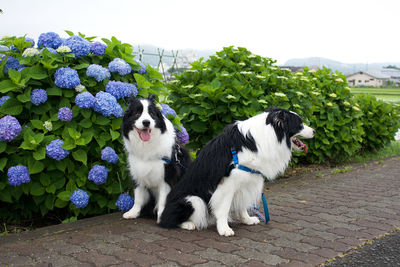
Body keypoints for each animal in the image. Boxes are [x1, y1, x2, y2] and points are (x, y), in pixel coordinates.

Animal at [122, 95, 191, 223]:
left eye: (151, 113)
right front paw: (133, 212)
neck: (147, 146)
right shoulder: (137, 172)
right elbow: (138, 197)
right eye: (137, 113)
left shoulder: (167, 176)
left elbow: (163, 199)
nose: (146, 122)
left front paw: (161, 217)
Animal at [160, 108, 316, 238]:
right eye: (300, 124)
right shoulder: (227, 183)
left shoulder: (247, 181)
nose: (314, 131)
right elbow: (223, 208)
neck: (266, 135)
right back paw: (188, 224)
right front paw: (224, 229)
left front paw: (247, 219)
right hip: (192, 200)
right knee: (169, 220)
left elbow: (243, 204)